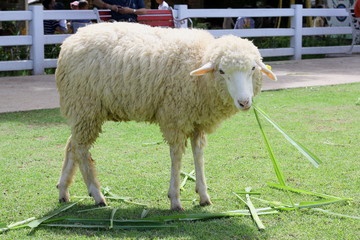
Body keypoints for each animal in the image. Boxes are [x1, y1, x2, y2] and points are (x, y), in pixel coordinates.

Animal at [55, 22, 276, 210]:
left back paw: (63, 190)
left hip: (83, 112)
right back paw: (97, 194)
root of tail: (72, 39)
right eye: (221, 71)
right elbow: (176, 156)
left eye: (253, 68)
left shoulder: (197, 121)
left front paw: (203, 195)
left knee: (72, 144)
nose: (244, 102)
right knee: (81, 149)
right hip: (85, 106)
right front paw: (175, 199)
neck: (198, 64)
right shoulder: (175, 117)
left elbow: (198, 154)